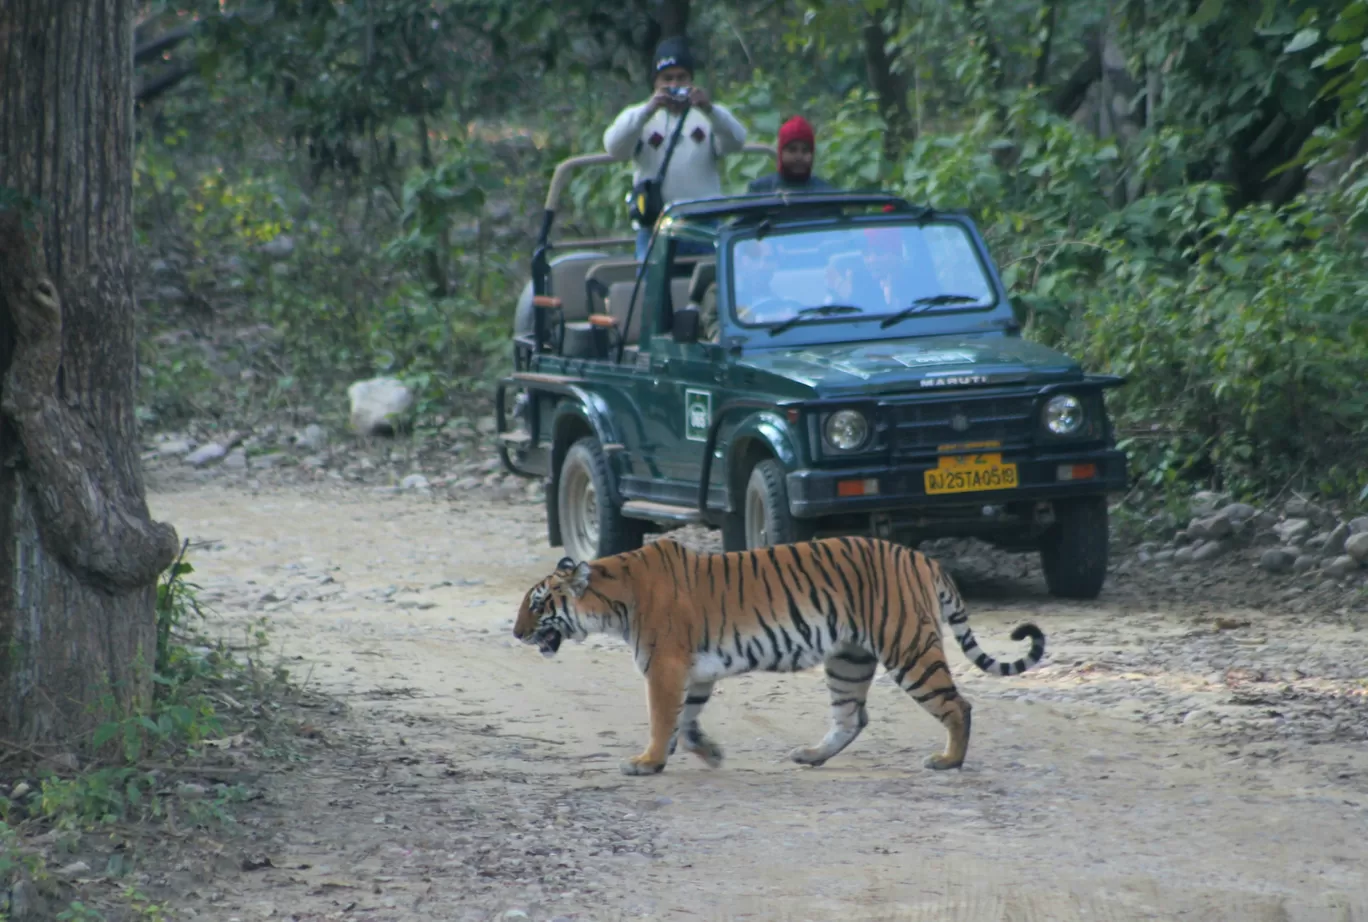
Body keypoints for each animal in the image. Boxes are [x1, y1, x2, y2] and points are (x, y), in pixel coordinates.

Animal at [514, 530, 1045, 776]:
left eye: (537, 604)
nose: (516, 634)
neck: (613, 599)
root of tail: (922, 558)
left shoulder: (665, 666)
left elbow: (663, 719)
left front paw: (646, 762)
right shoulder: (695, 672)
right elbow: (686, 721)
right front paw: (709, 753)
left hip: (908, 646)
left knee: (958, 704)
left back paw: (948, 760)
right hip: (848, 658)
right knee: (851, 717)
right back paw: (811, 755)